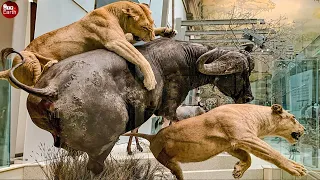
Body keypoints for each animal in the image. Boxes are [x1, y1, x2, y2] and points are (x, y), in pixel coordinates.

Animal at [8, 37, 255, 174]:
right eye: (240, 73)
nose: (249, 98)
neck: (187, 59)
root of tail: (52, 88)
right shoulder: (170, 108)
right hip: (103, 143)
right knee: (94, 167)